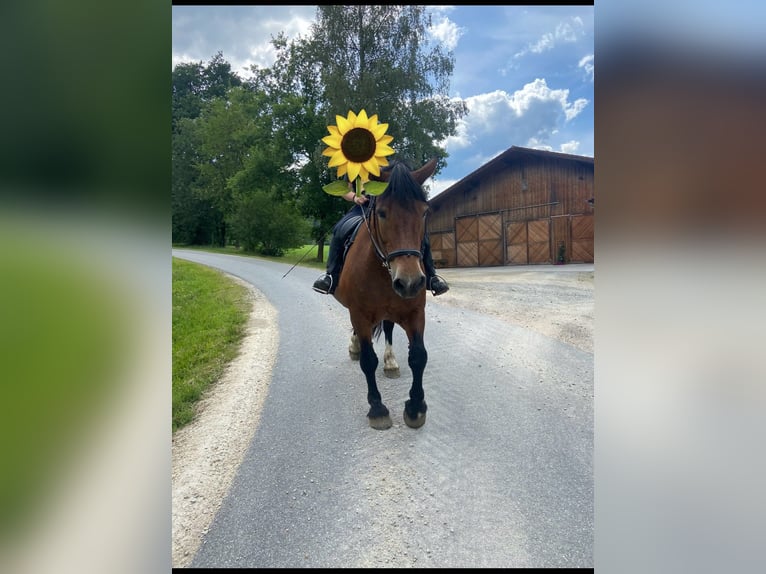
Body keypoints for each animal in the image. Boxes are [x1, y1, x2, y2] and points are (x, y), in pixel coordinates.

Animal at [334, 160, 438, 430]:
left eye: (424, 212)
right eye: (381, 212)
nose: (410, 282)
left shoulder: (415, 312)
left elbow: (419, 356)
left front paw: (415, 408)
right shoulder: (359, 313)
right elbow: (368, 361)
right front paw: (377, 409)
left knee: (389, 328)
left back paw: (390, 362)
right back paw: (355, 347)